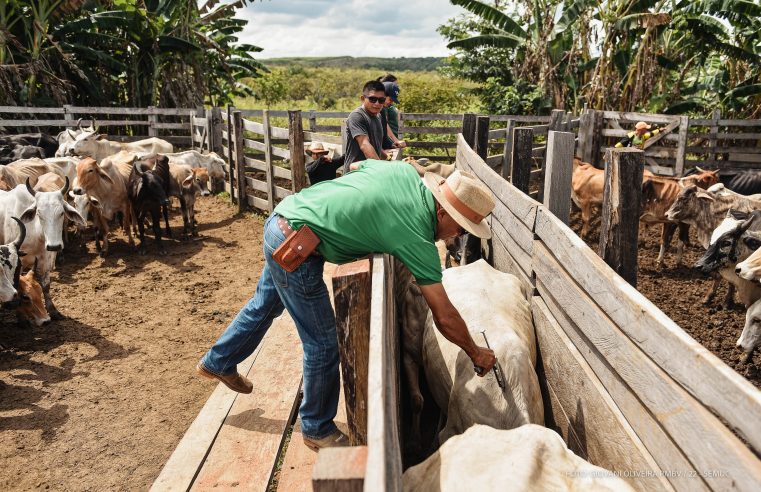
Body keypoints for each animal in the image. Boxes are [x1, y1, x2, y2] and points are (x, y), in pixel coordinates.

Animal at [0, 179, 84, 318]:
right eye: (39, 213)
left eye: (61, 213)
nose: (54, 246)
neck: (35, 233)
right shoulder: (19, 263)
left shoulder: (45, 260)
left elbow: (46, 286)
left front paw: (53, 310)